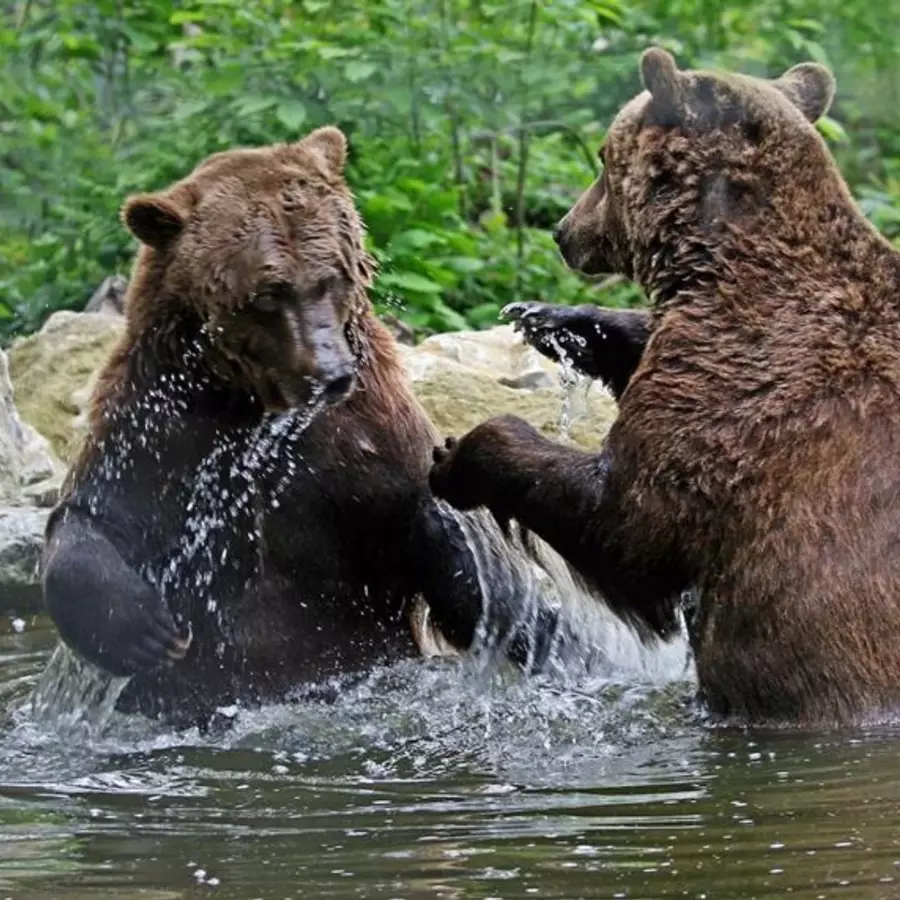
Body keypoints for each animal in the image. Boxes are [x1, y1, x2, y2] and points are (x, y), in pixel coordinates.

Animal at [41, 126, 598, 728]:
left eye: (333, 274)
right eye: (266, 293)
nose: (330, 373)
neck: (256, 407)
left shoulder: (363, 438)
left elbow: (449, 554)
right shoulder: (159, 424)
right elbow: (95, 516)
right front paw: (146, 630)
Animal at [430, 48, 900, 727]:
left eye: (602, 157)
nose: (564, 231)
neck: (721, 258)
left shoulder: (742, 401)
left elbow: (628, 521)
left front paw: (459, 453)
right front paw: (550, 318)